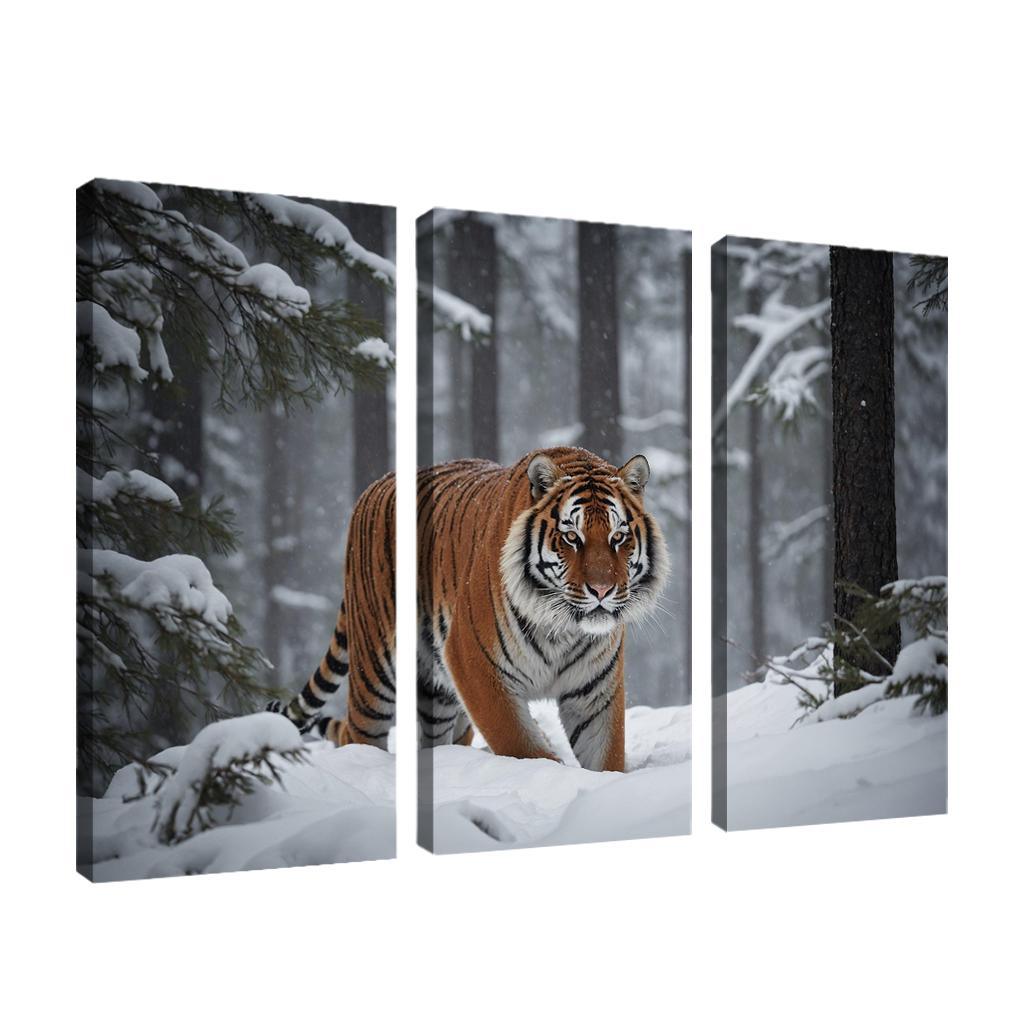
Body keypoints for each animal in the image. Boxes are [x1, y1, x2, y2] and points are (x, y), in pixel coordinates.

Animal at [271, 446, 667, 773]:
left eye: (618, 537)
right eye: (572, 537)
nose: (602, 590)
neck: (562, 627)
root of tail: (373, 486)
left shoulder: (596, 691)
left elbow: (606, 756)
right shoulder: (473, 662)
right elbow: (521, 745)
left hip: (440, 693)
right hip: (375, 670)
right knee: (357, 732)